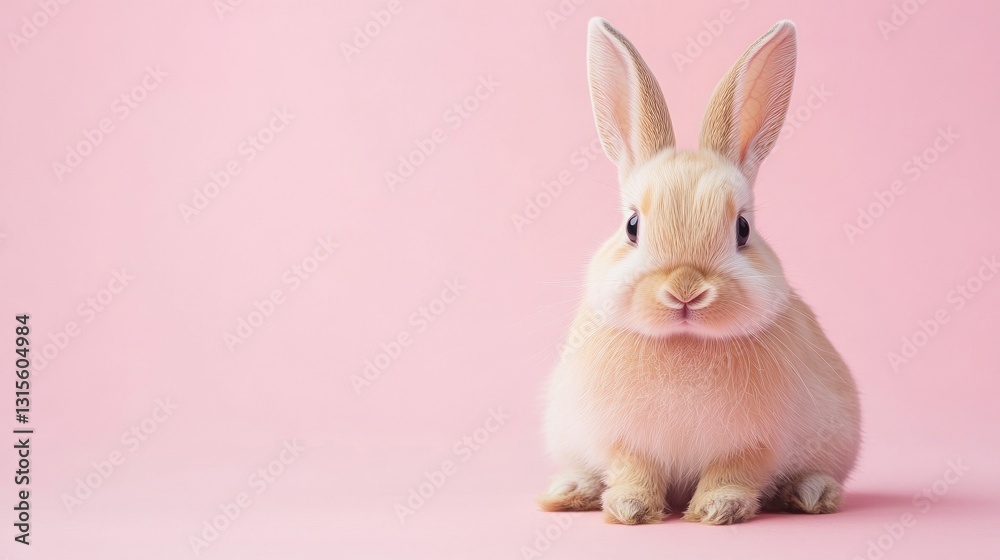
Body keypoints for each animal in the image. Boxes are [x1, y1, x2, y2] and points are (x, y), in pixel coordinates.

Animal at [538, 18, 861, 525]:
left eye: (743, 229)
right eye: (632, 227)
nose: (685, 290)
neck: (684, 344)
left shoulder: (754, 443)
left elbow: (734, 471)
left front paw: (718, 509)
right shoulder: (623, 439)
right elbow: (633, 468)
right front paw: (630, 507)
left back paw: (811, 493)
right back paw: (571, 490)